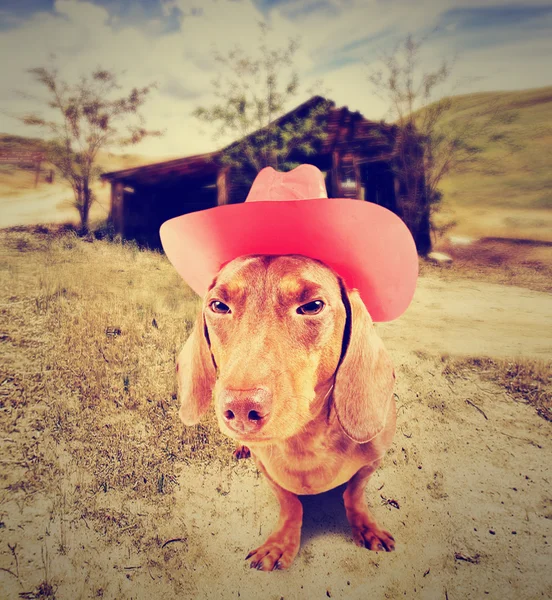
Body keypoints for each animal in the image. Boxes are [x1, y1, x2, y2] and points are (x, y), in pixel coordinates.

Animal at [177, 253, 396, 572]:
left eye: (312, 306)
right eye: (218, 305)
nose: (241, 408)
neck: (305, 441)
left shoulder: (372, 461)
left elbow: (354, 493)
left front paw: (365, 527)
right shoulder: (267, 469)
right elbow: (290, 503)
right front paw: (281, 543)